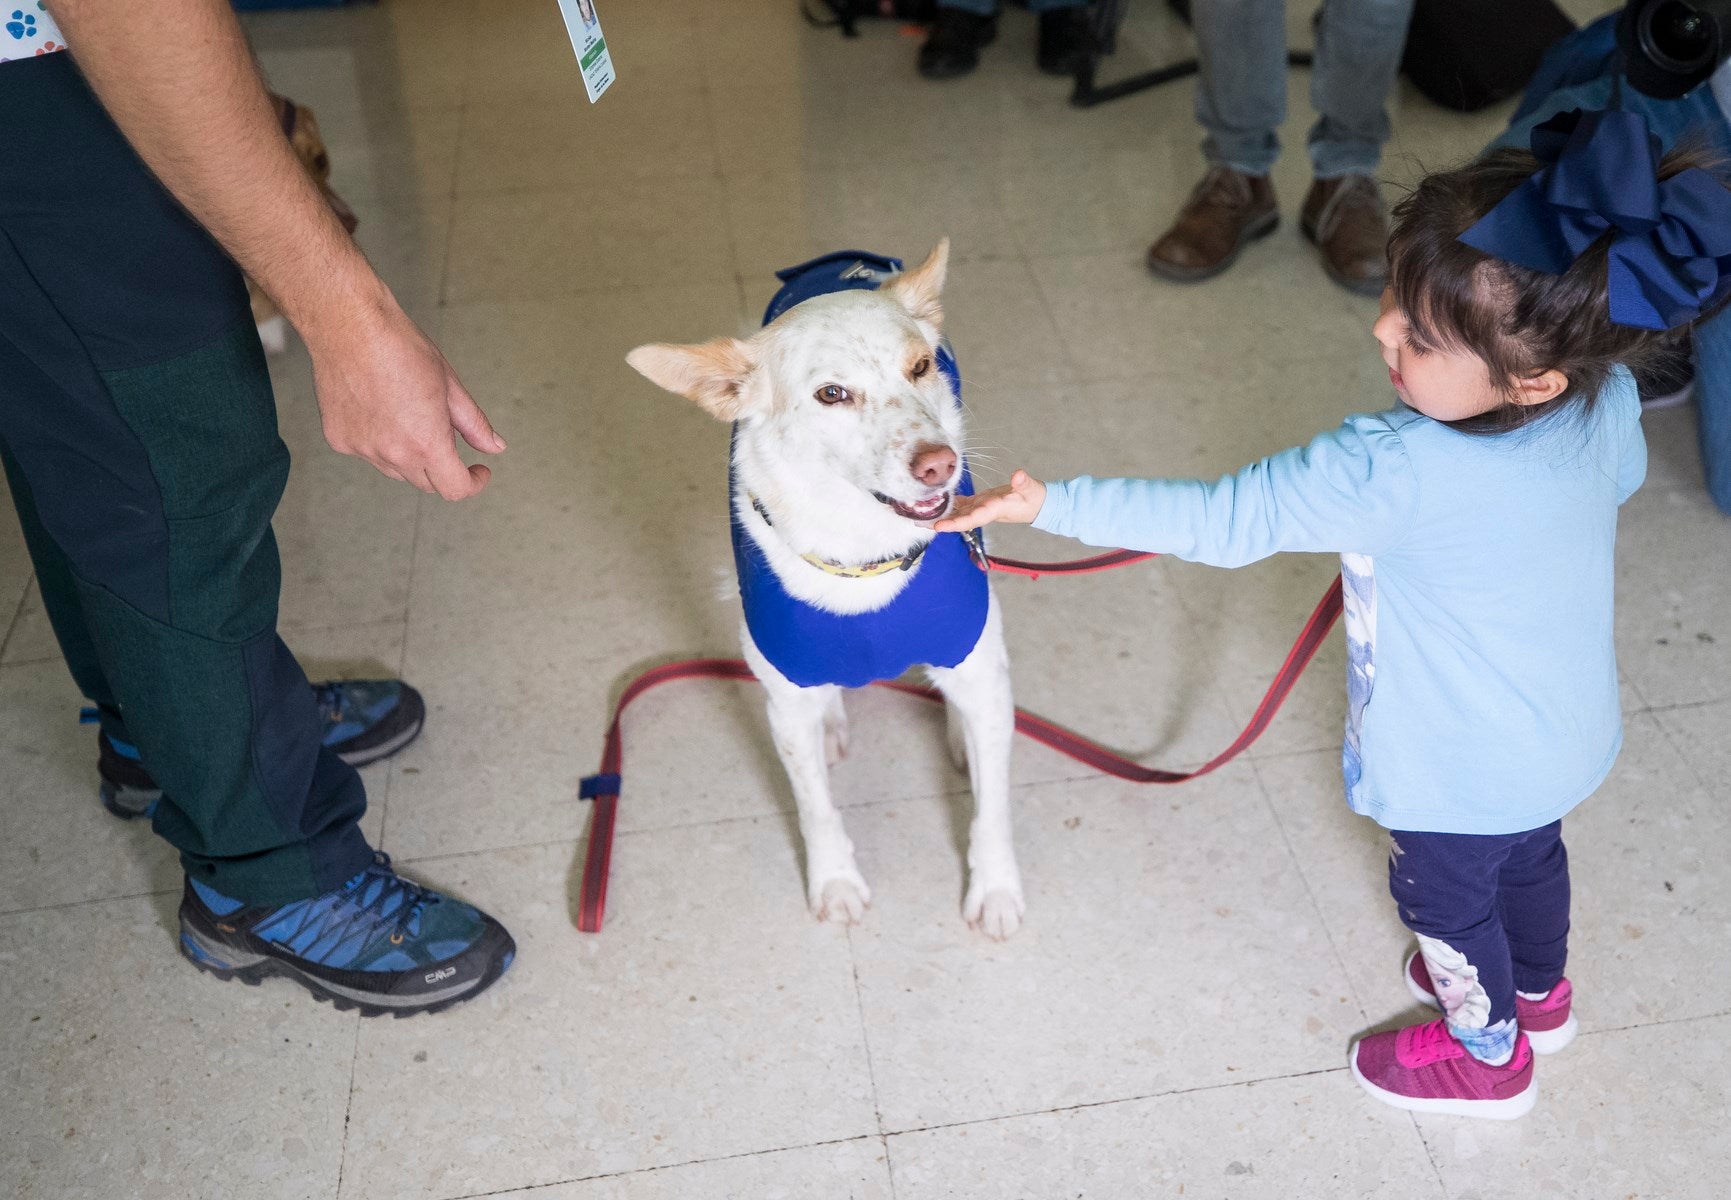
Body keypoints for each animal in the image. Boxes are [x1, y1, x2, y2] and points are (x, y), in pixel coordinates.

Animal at [626, 240, 1017, 935]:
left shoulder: (981, 671)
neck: (865, 553)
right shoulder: (786, 703)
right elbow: (815, 808)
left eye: (921, 367)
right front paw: (834, 882)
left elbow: (992, 808)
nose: (939, 464)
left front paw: (995, 889)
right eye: (831, 394)